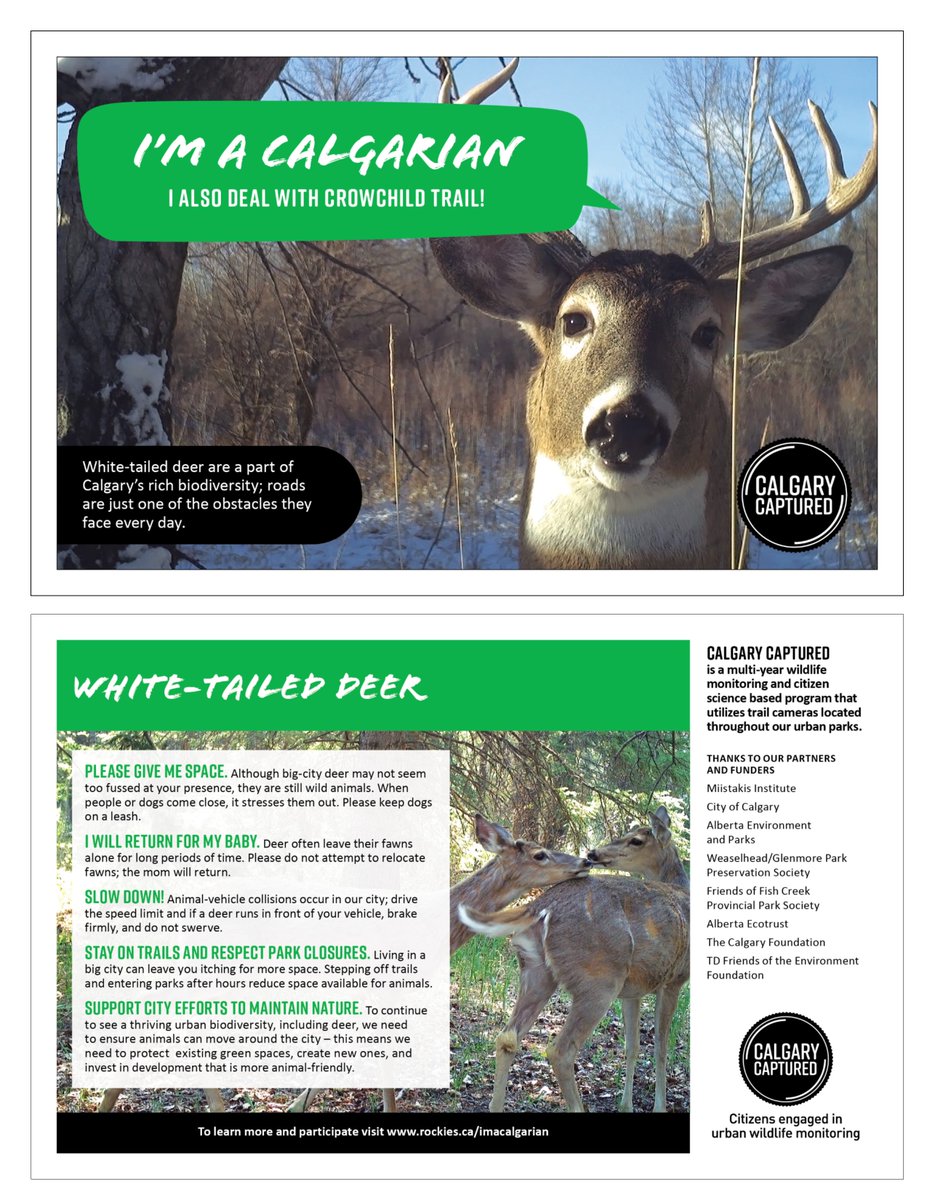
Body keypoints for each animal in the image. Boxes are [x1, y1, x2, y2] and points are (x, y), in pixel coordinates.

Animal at [459, 804, 689, 1113]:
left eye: (636, 840)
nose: (594, 853)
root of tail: (539, 907)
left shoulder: (634, 990)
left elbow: (632, 1046)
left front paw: (626, 1106)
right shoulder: (674, 979)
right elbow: (661, 1048)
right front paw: (659, 1107)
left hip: (536, 971)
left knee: (507, 1037)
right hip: (599, 979)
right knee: (560, 1051)